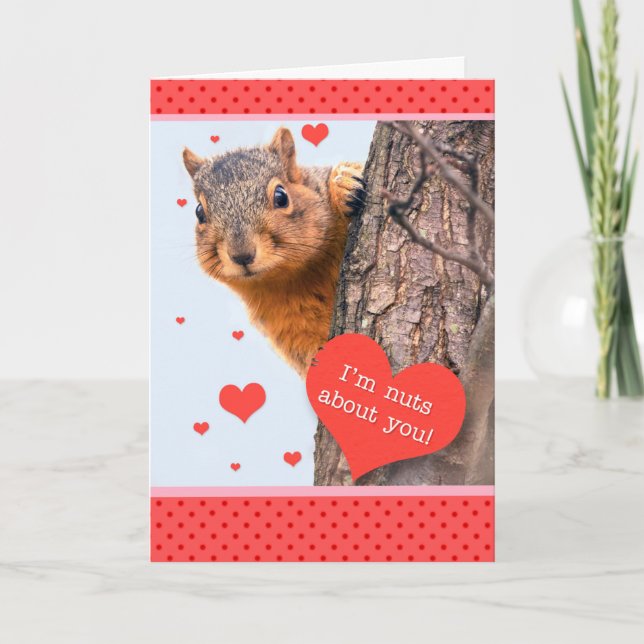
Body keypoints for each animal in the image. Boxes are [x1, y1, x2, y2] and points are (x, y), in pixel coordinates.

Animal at [183, 127, 365, 377]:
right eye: (199, 212)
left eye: (281, 196)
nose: (241, 255)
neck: (299, 276)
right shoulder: (288, 329)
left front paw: (345, 183)